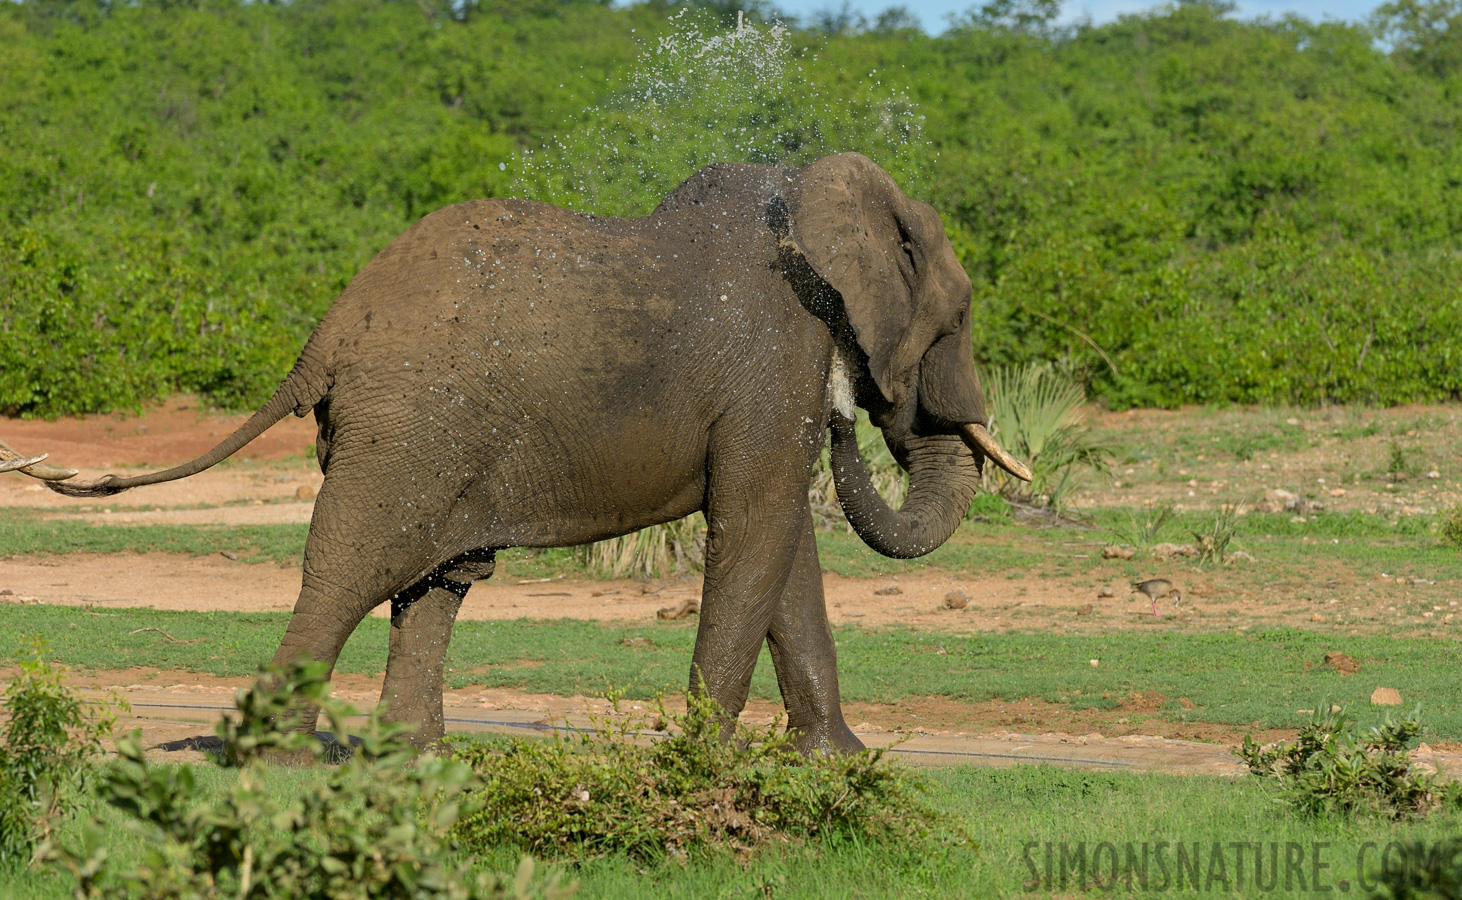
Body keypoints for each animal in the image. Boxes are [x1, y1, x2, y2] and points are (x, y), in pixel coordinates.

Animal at [5, 152, 1029, 753]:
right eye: (959, 319)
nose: (854, 409)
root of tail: (323, 336)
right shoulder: (775, 359)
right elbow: (756, 526)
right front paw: (706, 763)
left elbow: (781, 546)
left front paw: (838, 765)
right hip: (409, 425)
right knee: (349, 569)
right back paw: (285, 761)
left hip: (420, 437)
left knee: (437, 580)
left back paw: (413, 764)